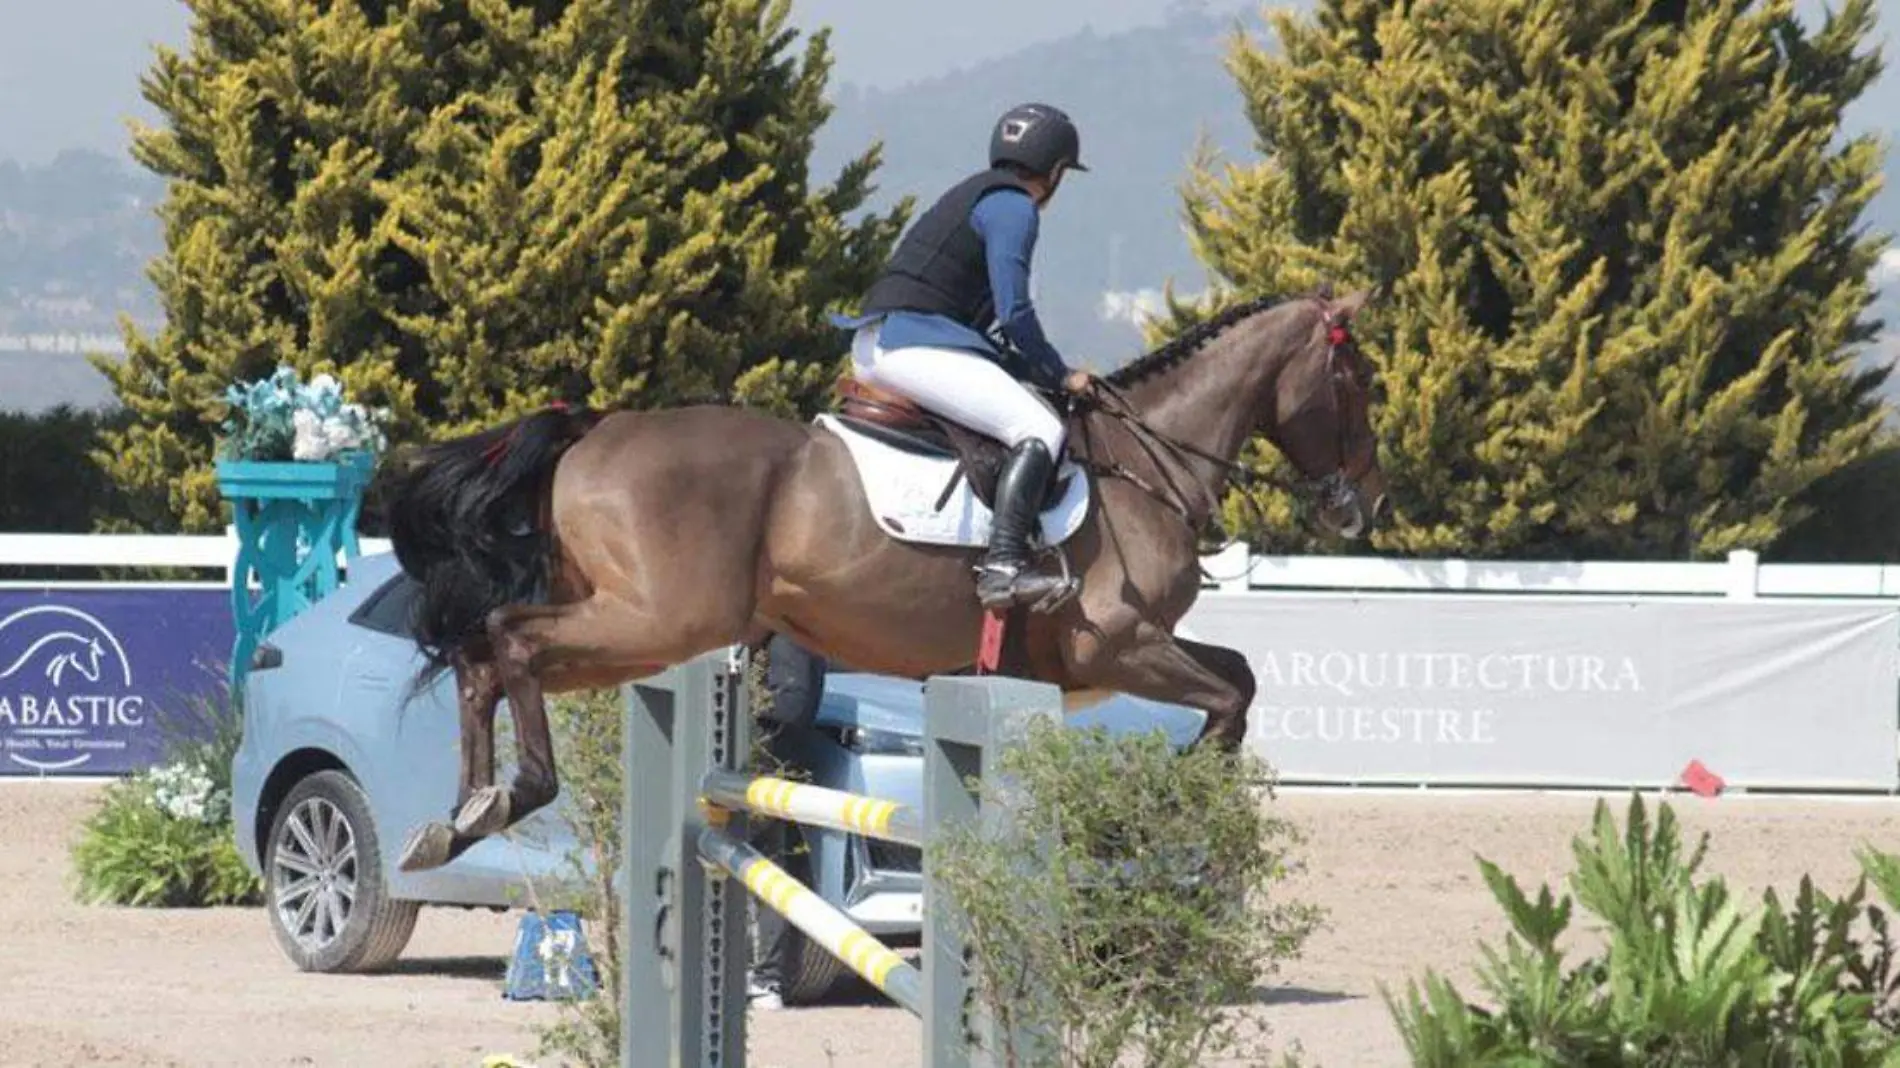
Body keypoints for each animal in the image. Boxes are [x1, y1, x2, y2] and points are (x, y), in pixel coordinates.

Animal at [378, 286, 1390, 870]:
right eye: (1359, 381)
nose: (1365, 505)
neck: (1147, 460)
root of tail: (593, 427)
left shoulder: (1121, 652)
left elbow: (1240, 677)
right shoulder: (1120, 645)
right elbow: (1228, 696)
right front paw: (1166, 807)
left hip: (632, 627)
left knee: (482, 659)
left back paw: (458, 818)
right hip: (657, 620)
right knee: (505, 639)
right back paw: (515, 792)